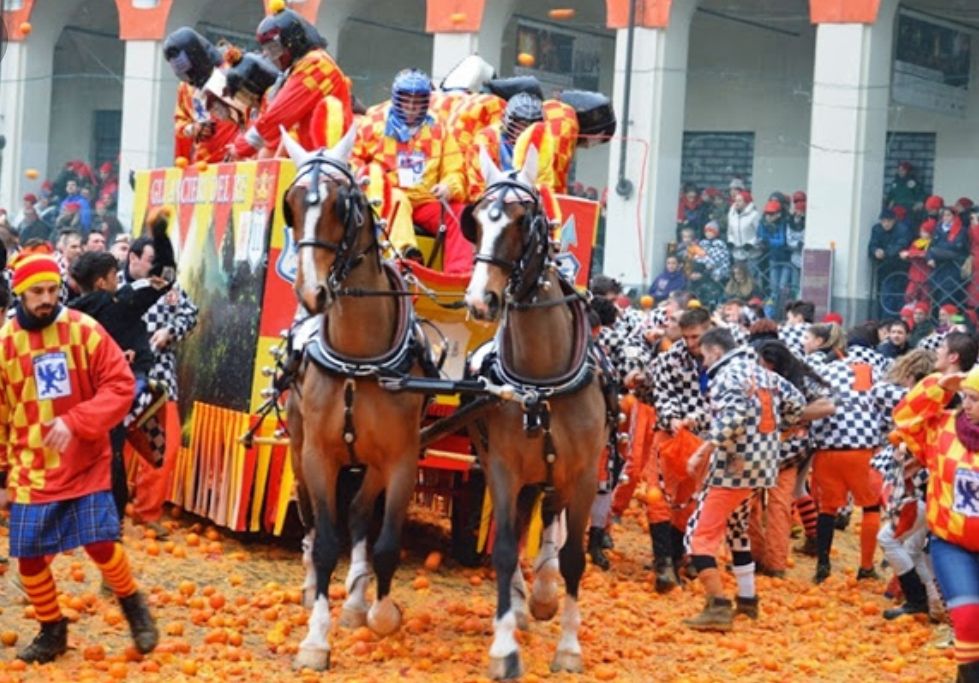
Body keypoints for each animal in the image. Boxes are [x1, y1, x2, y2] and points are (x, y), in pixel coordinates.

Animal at [278, 131, 426, 672]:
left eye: (343, 206)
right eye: (291, 205)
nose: (311, 291)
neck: (359, 358)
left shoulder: (401, 457)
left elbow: (384, 542)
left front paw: (377, 610)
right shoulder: (319, 456)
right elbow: (324, 542)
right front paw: (314, 640)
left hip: (374, 462)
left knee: (362, 514)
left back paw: (359, 599)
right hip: (298, 447)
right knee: (309, 518)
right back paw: (308, 588)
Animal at [462, 150, 612, 680]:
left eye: (521, 220)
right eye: (476, 221)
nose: (480, 299)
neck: (540, 382)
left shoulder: (584, 473)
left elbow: (573, 557)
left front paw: (568, 647)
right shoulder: (505, 468)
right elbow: (506, 549)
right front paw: (505, 645)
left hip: (557, 472)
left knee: (549, 518)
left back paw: (544, 595)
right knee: (527, 515)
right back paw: (525, 603)